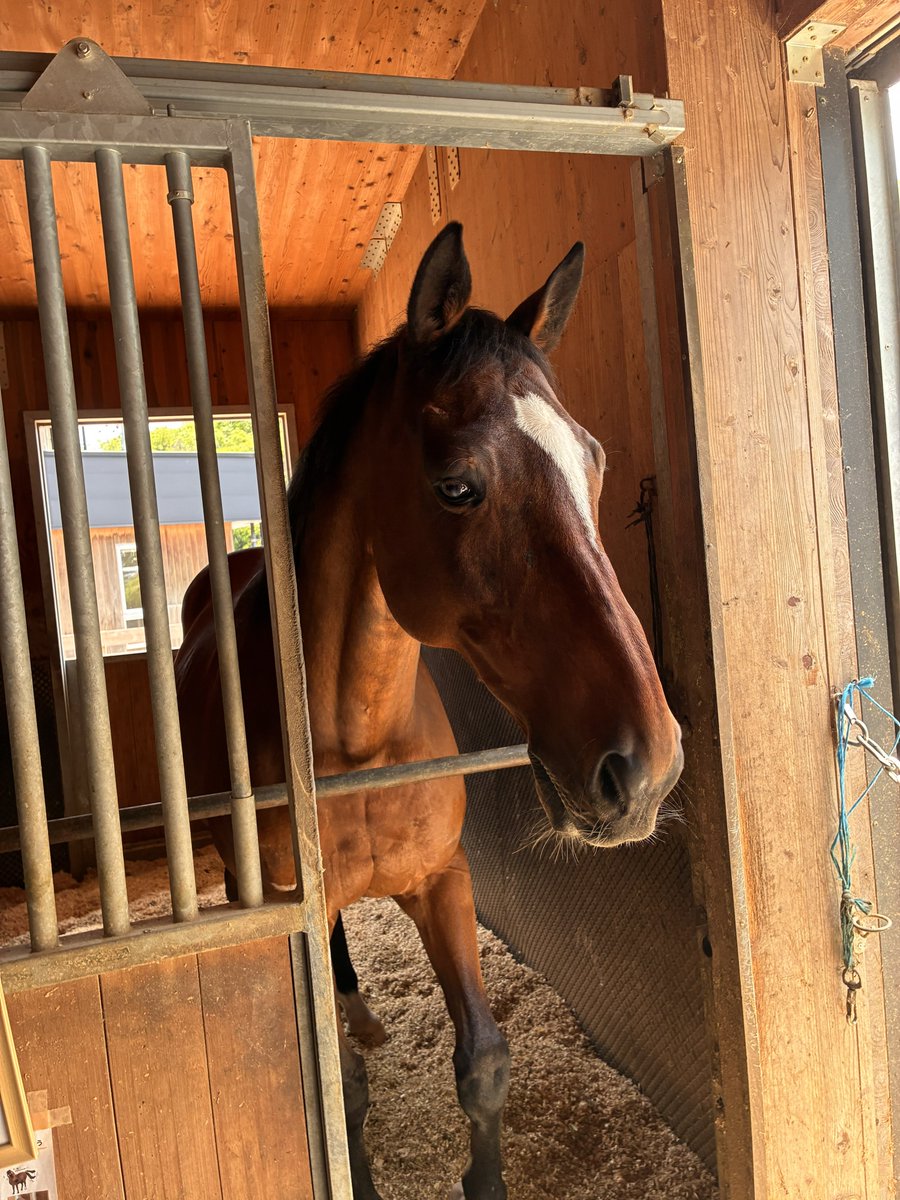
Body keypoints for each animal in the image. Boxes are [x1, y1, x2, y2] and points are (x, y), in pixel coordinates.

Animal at [174, 222, 683, 1200]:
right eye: (456, 487)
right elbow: (343, 1094)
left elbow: (483, 1060)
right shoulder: (297, 911)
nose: (646, 766)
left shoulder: (444, 879)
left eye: (595, 461)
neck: (360, 741)